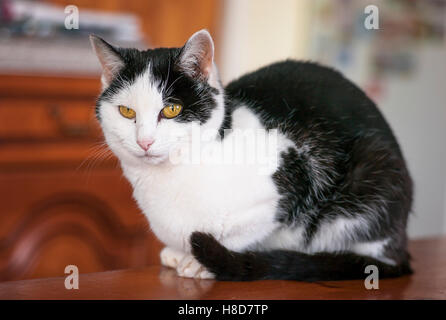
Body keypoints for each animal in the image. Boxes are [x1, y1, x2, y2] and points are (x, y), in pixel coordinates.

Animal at [90, 29, 414, 280]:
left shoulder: (289, 182)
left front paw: (199, 261)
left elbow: (242, 231)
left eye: (171, 109)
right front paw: (178, 252)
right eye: (126, 111)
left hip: (372, 177)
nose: (144, 141)